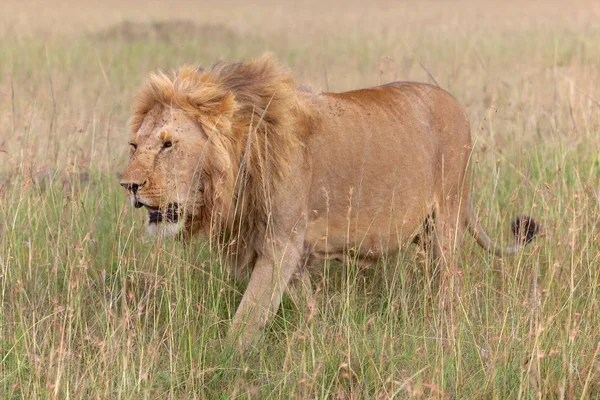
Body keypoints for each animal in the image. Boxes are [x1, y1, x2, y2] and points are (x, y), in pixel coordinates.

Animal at [122, 52, 540, 346]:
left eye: (168, 144)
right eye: (134, 145)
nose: (128, 185)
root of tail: (457, 106)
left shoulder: (281, 244)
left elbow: (247, 319)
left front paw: (226, 361)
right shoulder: (287, 250)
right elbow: (304, 303)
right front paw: (317, 334)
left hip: (448, 218)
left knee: (450, 282)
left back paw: (443, 330)